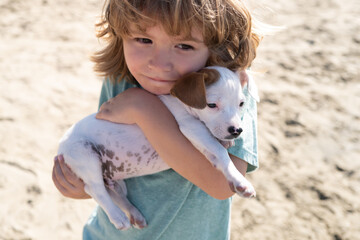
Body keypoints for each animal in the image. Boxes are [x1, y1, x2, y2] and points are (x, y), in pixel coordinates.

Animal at [57, 66, 256, 231]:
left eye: (241, 104)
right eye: (212, 105)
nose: (236, 131)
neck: (182, 103)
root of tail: (61, 146)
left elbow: (218, 154)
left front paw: (229, 158)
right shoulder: (192, 128)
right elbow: (221, 153)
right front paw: (241, 181)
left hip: (114, 179)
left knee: (113, 193)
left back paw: (133, 213)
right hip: (85, 155)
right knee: (94, 189)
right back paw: (118, 217)